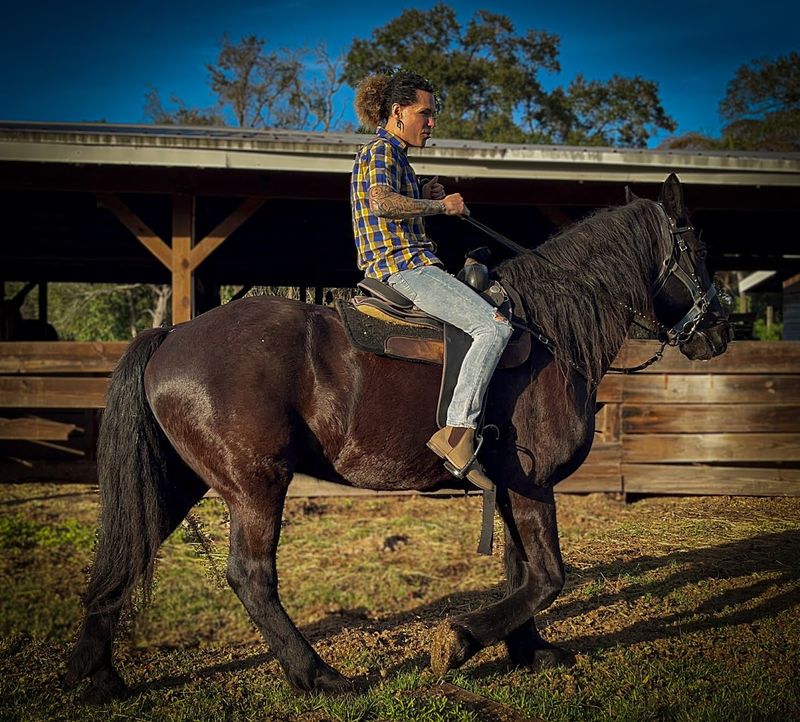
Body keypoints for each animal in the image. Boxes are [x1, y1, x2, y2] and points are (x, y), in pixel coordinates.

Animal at [65, 173, 732, 701]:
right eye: (698, 248)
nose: (720, 332)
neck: (546, 333)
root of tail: (173, 336)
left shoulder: (509, 484)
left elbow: (520, 571)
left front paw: (529, 651)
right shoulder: (532, 483)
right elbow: (546, 576)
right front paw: (460, 641)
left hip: (179, 481)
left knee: (125, 554)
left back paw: (96, 676)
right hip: (255, 485)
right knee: (251, 576)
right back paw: (317, 675)